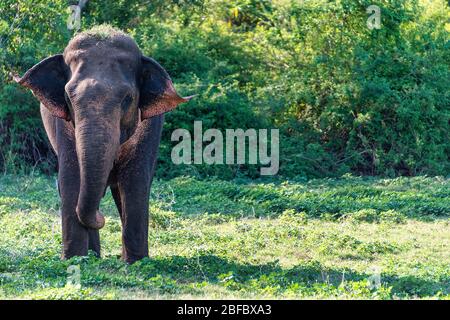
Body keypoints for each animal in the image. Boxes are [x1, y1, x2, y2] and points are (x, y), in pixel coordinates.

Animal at [13, 26, 193, 262]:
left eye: (128, 98)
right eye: (67, 98)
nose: (101, 217)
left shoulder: (150, 127)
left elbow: (136, 181)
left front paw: (136, 263)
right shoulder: (64, 126)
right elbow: (71, 178)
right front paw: (75, 260)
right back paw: (92, 256)